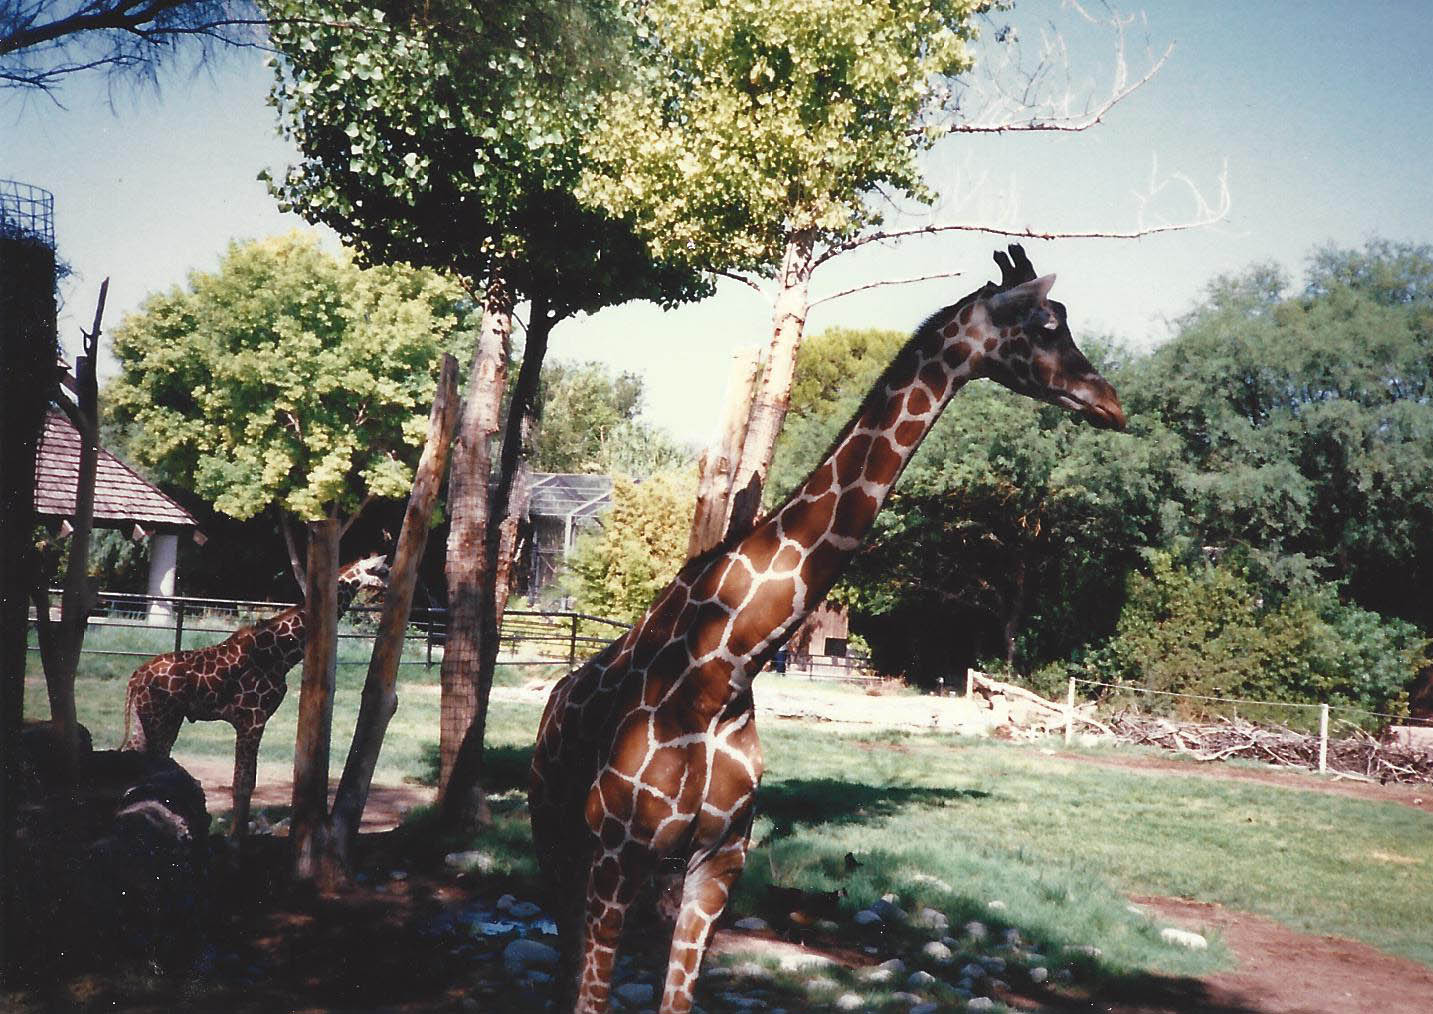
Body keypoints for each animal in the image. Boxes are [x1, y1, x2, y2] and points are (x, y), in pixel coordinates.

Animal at [122, 555, 388, 837]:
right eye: (383, 570)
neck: (281, 654)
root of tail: (136, 676)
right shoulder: (252, 718)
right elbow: (243, 782)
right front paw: (236, 837)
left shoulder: (252, 721)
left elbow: (247, 782)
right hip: (160, 718)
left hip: (150, 717)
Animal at [529, 245, 1126, 1014]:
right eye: (1046, 324)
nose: (1110, 402)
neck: (725, 668)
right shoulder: (615, 854)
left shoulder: (717, 862)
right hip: (557, 840)